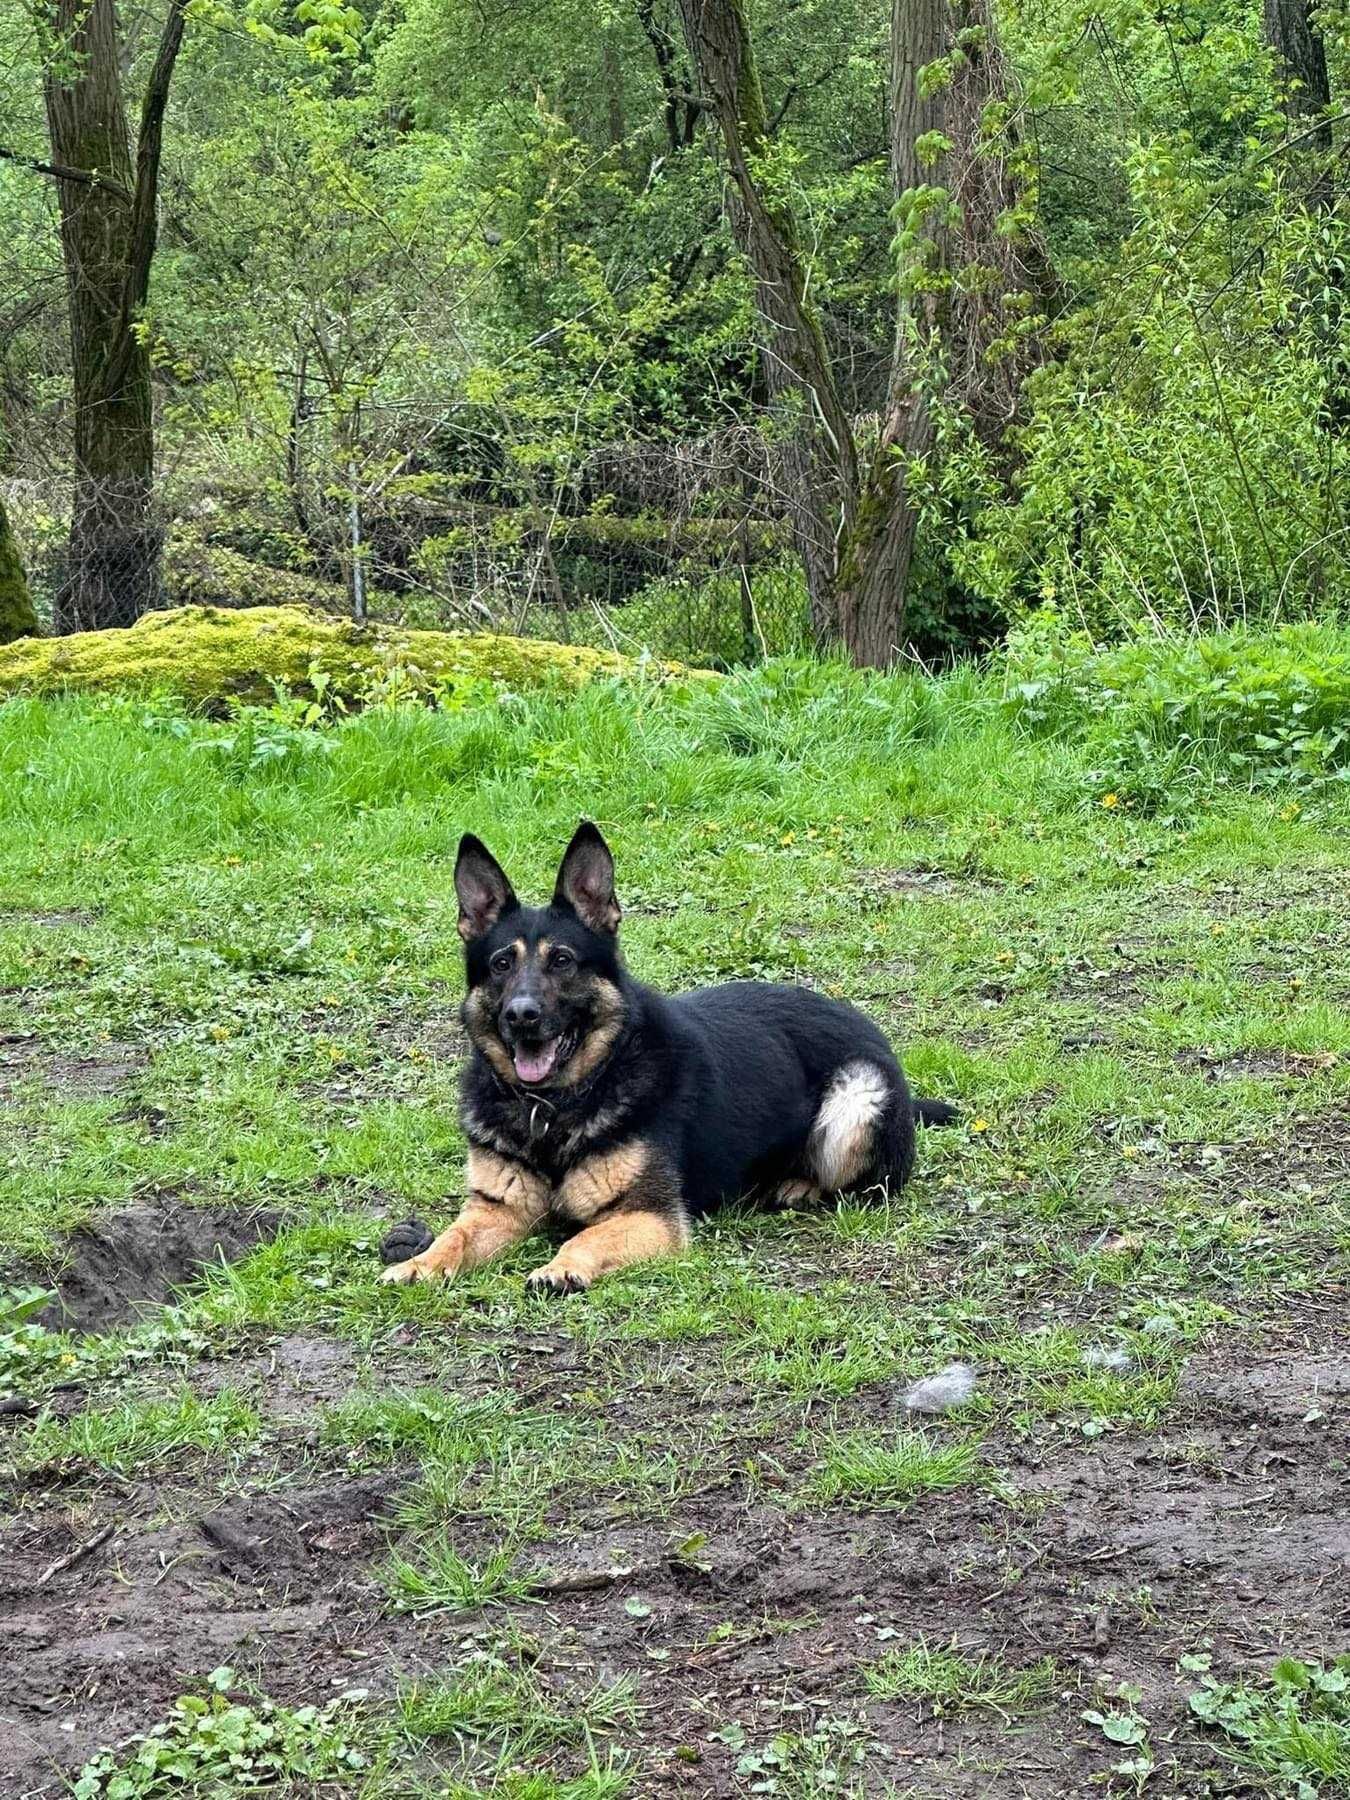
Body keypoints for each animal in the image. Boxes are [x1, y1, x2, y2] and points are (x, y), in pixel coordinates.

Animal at [376, 824, 957, 1303]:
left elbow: (588, 1233)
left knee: (870, 1182)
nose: (522, 1016)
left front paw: (560, 1267)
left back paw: (799, 1184)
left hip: (856, 1097)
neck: (557, 1107)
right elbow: (456, 1235)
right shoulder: (496, 1209)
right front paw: (419, 1261)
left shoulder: (651, 1216)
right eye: (501, 964)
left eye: (562, 961)